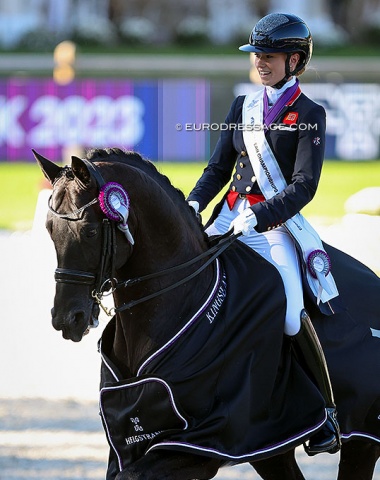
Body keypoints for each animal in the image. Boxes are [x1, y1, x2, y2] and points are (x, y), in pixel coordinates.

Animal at [33, 147, 380, 480]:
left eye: (90, 232)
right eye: (49, 229)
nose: (66, 319)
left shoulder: (198, 447)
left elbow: (131, 476)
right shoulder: (128, 441)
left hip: (361, 440)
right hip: (270, 448)